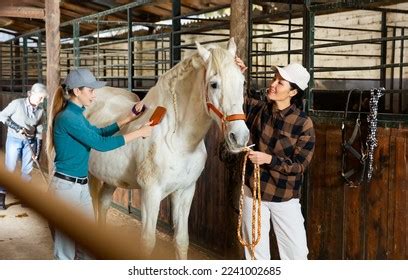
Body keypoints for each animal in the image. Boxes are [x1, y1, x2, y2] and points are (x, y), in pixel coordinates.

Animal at [85, 38, 249, 260]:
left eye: (242, 82)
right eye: (214, 84)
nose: (239, 137)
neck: (176, 139)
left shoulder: (185, 191)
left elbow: (181, 240)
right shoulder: (150, 194)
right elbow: (147, 242)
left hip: (111, 177)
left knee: (102, 203)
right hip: (91, 175)